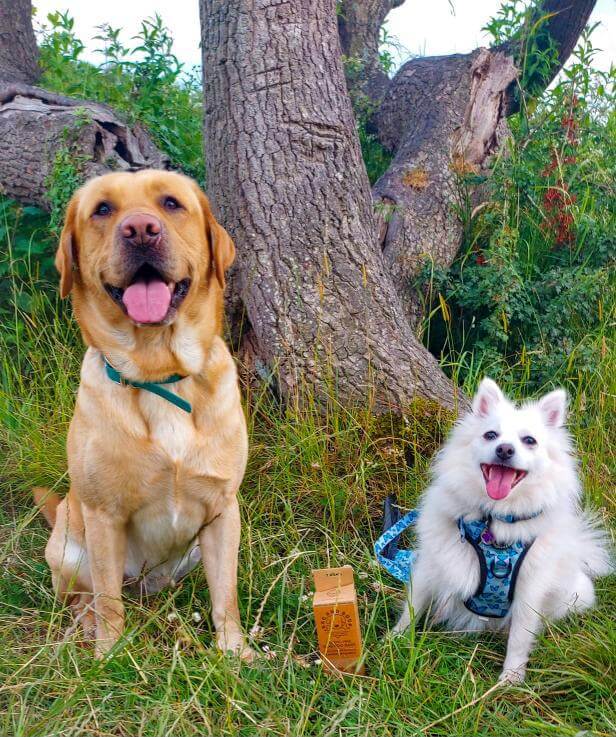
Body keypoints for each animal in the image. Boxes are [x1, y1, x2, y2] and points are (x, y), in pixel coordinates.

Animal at [35, 170, 251, 660]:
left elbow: (225, 596)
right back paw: (86, 624)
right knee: (86, 596)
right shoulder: (103, 517)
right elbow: (109, 600)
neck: (159, 374)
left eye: (171, 203)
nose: (140, 230)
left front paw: (234, 652)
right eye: (102, 209)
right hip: (69, 549)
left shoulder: (222, 512)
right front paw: (108, 656)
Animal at [394, 376, 612, 680]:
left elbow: (519, 637)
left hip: (575, 596)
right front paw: (393, 641)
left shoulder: (529, 588)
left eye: (529, 441)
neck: (493, 520)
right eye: (490, 435)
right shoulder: (430, 566)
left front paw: (510, 678)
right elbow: (413, 607)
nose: (505, 450)